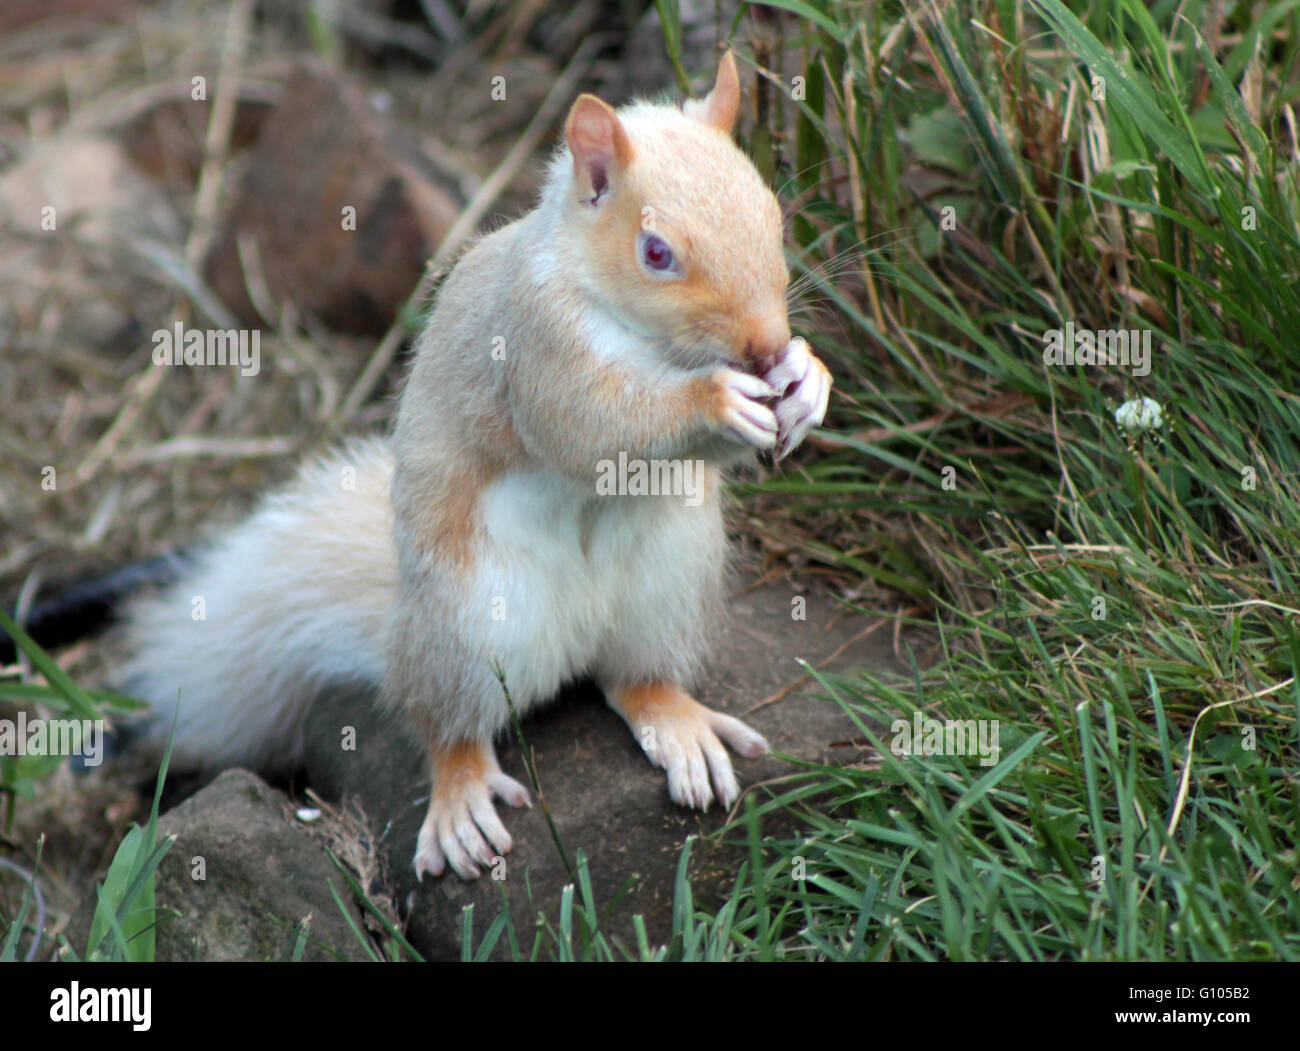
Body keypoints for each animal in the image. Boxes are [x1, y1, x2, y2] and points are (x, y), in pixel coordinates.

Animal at [113, 51, 832, 880]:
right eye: (657, 253)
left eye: (772, 215)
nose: (765, 346)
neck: (639, 335)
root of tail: (575, 637)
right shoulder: (532, 345)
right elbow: (592, 428)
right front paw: (717, 397)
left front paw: (808, 379)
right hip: (465, 624)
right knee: (449, 727)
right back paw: (460, 798)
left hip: (669, 581)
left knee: (638, 681)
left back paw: (680, 725)